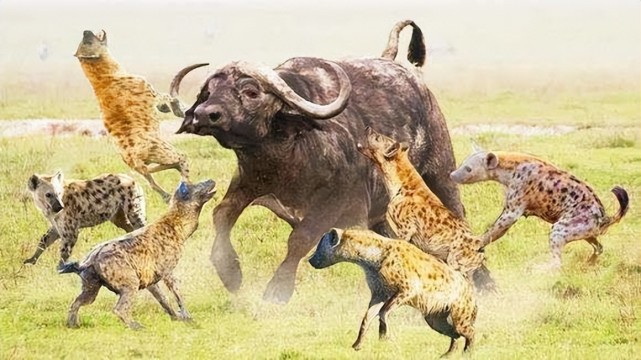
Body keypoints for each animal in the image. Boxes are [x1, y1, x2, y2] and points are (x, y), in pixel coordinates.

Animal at [170, 19, 462, 304]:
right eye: (208, 92)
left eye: (251, 92)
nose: (204, 114)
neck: (284, 158)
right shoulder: (247, 181)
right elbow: (221, 216)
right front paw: (230, 273)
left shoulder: (337, 201)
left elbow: (300, 237)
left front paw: (278, 290)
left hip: (441, 174)